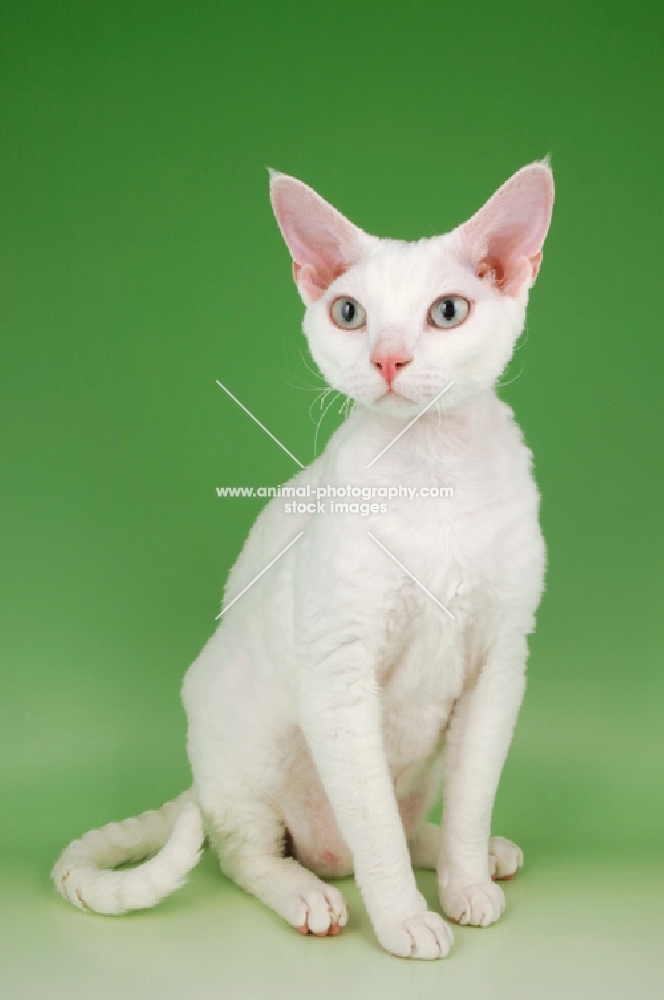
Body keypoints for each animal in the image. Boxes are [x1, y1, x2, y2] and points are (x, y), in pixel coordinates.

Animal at [53, 164, 556, 960]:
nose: (387, 357)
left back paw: (472, 858)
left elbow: (471, 798)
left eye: (448, 312)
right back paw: (311, 897)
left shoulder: (501, 662)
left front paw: (466, 884)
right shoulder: (337, 669)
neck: (433, 477)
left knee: (411, 820)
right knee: (252, 854)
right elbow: (372, 824)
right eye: (349, 313)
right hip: (244, 746)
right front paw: (405, 920)